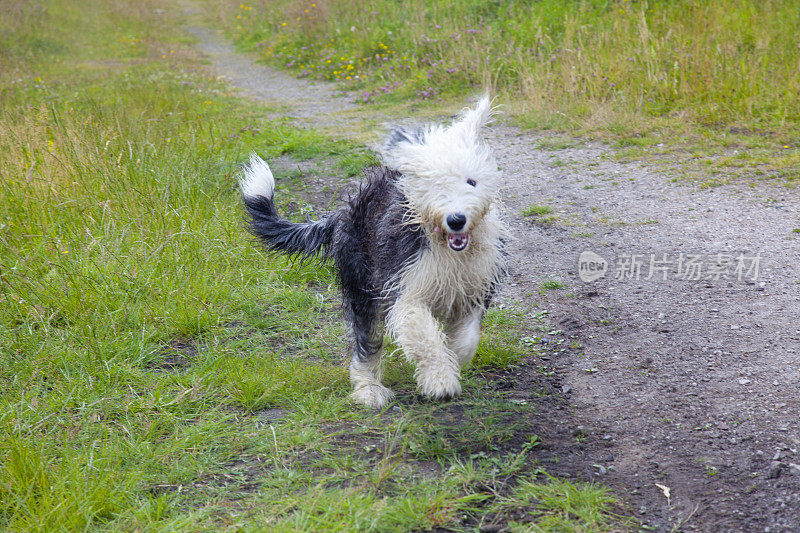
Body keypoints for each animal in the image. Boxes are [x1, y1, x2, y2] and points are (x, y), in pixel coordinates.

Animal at [241, 96, 510, 408]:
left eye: (471, 181)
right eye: (436, 184)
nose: (456, 219)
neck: (447, 248)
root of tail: (344, 211)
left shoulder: (475, 287)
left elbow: (466, 339)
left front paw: (452, 358)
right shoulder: (404, 284)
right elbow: (422, 334)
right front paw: (439, 380)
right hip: (362, 281)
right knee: (365, 341)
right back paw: (369, 389)